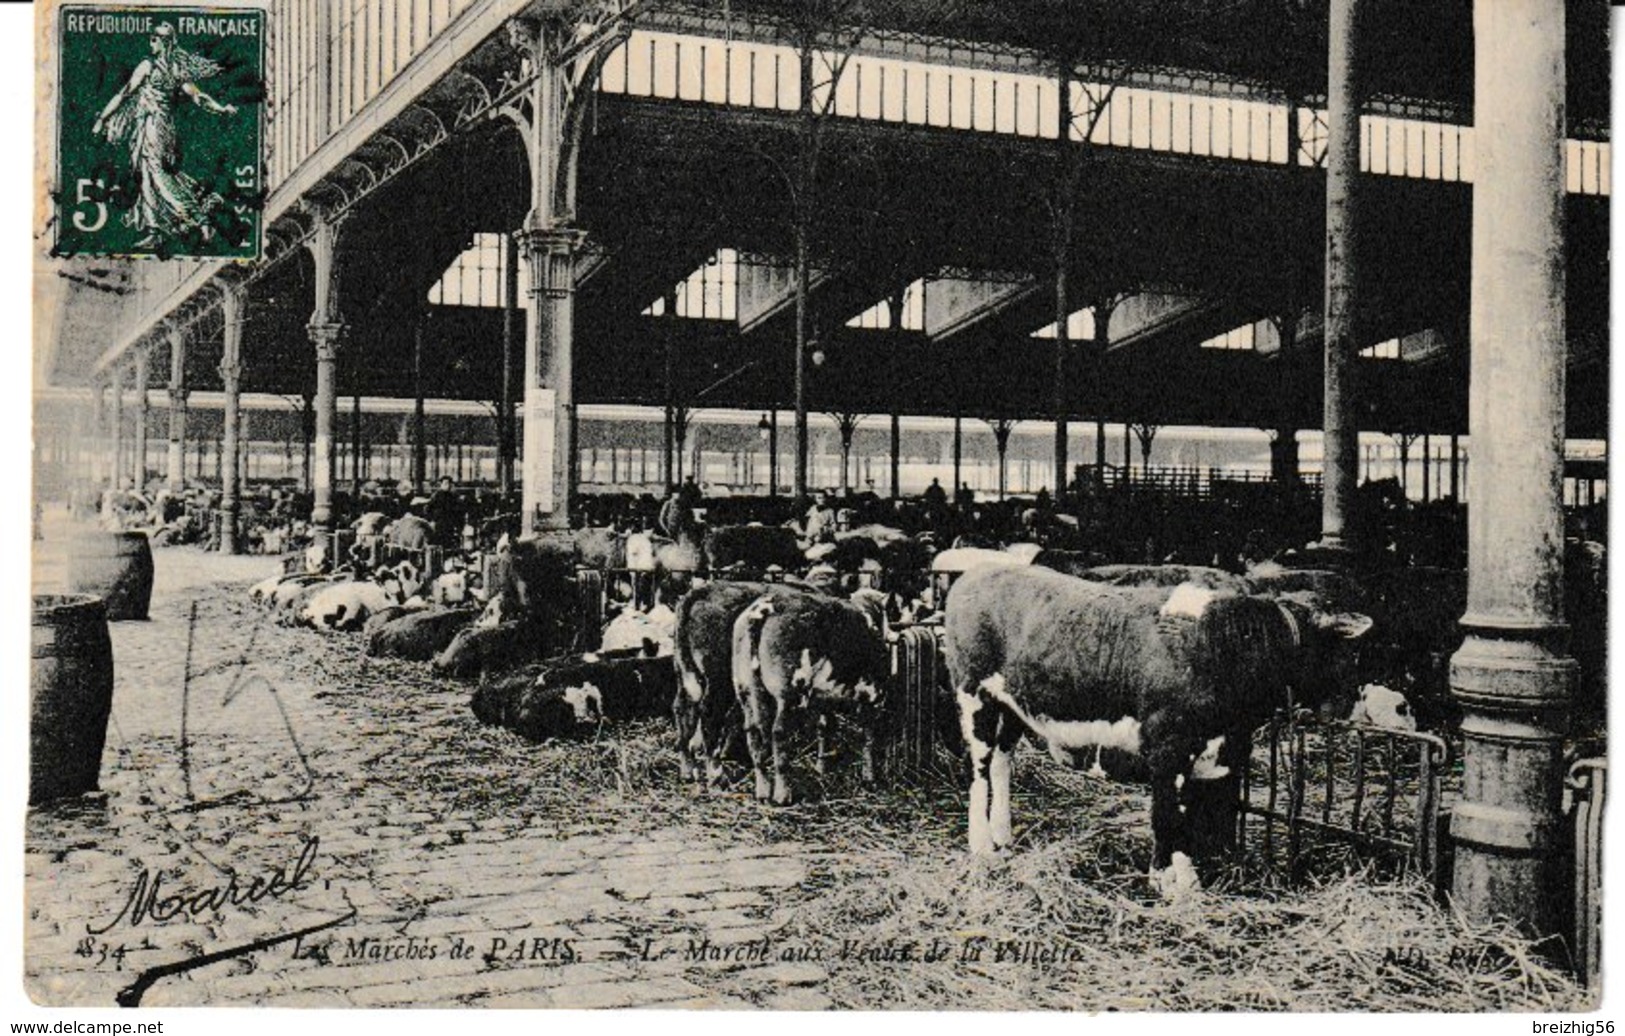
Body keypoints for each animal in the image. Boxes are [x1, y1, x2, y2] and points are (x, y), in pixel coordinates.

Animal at [734, 591, 890, 805]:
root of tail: (764, 608)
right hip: (788, 692)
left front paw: (821, 770)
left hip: (746, 690)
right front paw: (869, 778)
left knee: (753, 734)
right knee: (778, 733)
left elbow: (824, 728)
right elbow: (868, 738)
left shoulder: (826, 698)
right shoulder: (873, 695)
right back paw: (783, 794)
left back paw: (763, 792)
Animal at [942, 565, 1371, 896]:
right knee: (979, 769)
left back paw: (1003, 834)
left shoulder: (1210, 752)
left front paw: (1188, 880)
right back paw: (982, 846)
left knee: (1002, 760)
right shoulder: (1168, 747)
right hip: (973, 693)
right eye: (1346, 651)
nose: (1354, 702)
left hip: (1014, 704)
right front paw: (1165, 882)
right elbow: (1166, 815)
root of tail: (974, 573)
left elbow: (1189, 818)